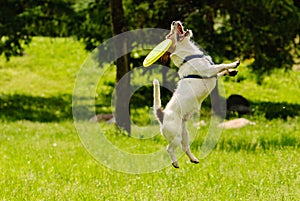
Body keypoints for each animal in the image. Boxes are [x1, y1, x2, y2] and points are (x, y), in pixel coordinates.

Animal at [154, 20, 240, 168]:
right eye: (170, 34)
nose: (174, 21)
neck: (189, 56)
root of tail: (162, 115)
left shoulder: (213, 75)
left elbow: (221, 71)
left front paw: (231, 71)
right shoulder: (209, 70)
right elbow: (221, 65)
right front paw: (233, 63)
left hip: (185, 133)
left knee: (185, 147)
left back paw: (193, 159)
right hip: (176, 136)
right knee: (169, 148)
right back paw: (175, 162)